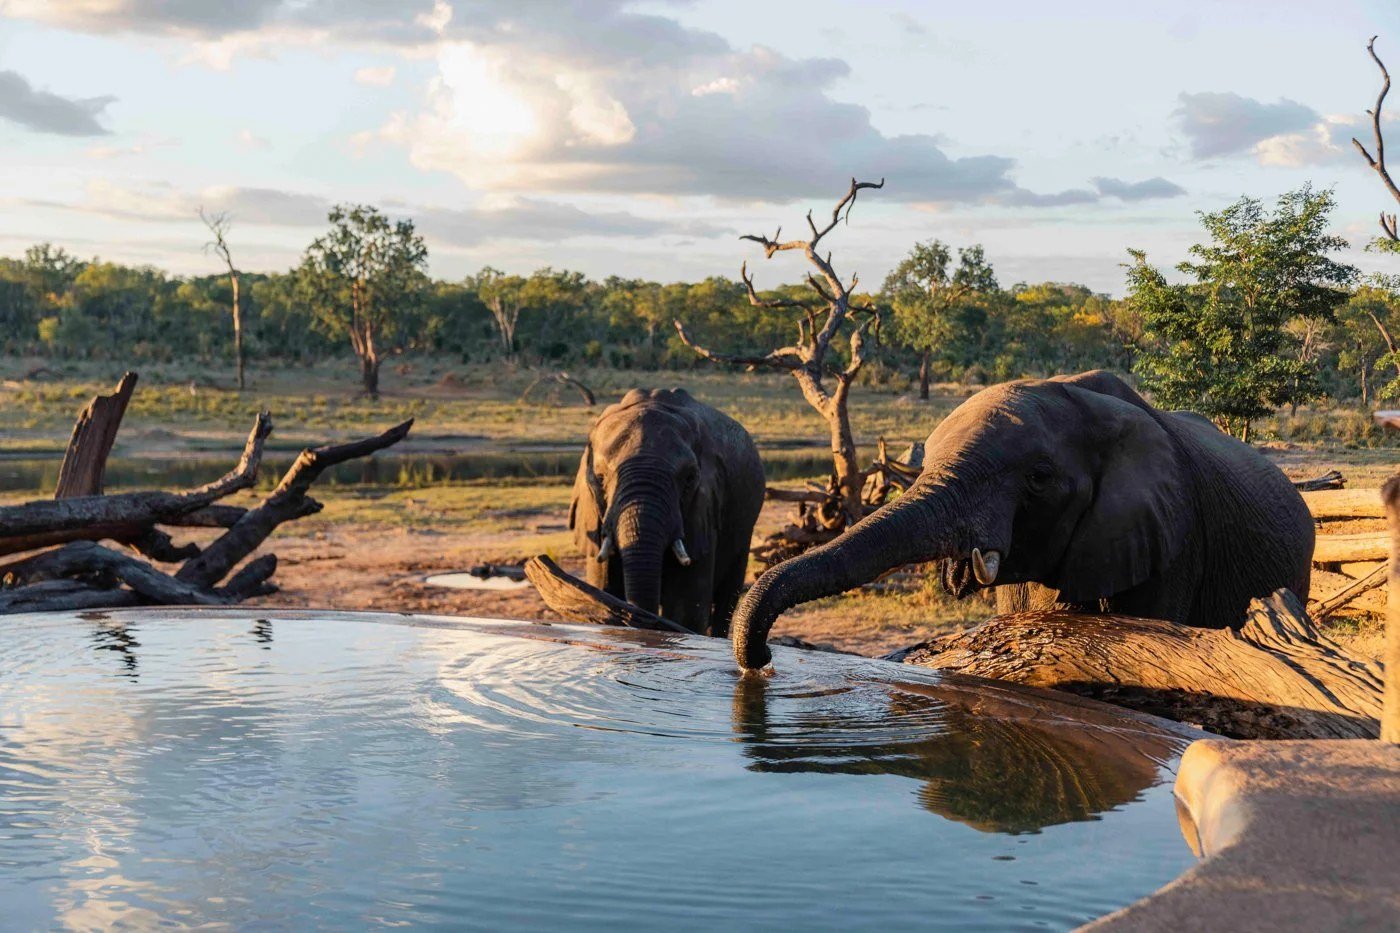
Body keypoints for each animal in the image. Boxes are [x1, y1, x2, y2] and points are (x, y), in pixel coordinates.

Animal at [570, 388, 765, 636]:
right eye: (600, 478)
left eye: (689, 478)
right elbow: (603, 592)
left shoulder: (702, 510)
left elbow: (685, 611)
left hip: (744, 530)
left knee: (727, 598)